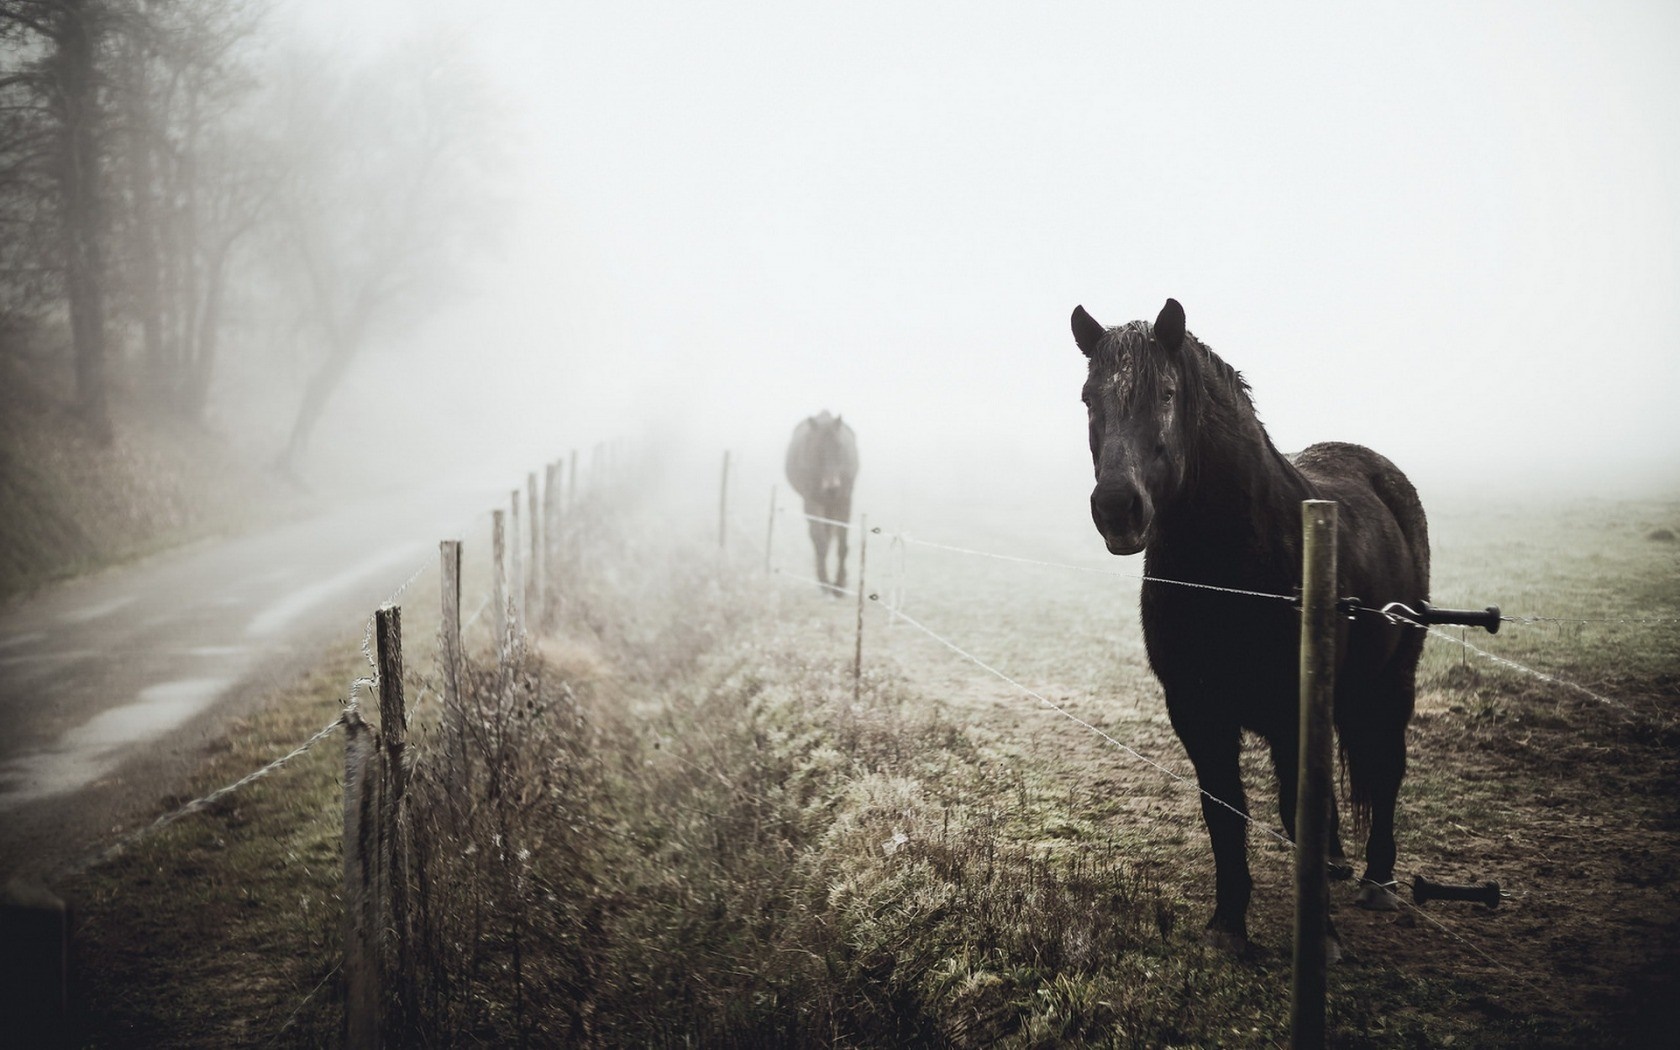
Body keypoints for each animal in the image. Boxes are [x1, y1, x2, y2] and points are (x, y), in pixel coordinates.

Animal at [785, 411, 859, 594]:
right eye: (818, 449)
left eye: (839, 447)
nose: (832, 486)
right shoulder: (812, 502)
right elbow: (820, 541)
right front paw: (825, 583)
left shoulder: (844, 502)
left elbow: (842, 545)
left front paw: (840, 585)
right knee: (818, 536)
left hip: (831, 506)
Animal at [1071, 298, 1430, 958]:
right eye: (1088, 397)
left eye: (1166, 393)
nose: (1117, 509)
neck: (1232, 568)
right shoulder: (1195, 708)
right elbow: (1224, 809)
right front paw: (1228, 926)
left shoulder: (1289, 705)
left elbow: (1294, 806)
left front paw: (1321, 937)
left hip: (1393, 678)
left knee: (1387, 766)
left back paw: (1378, 880)